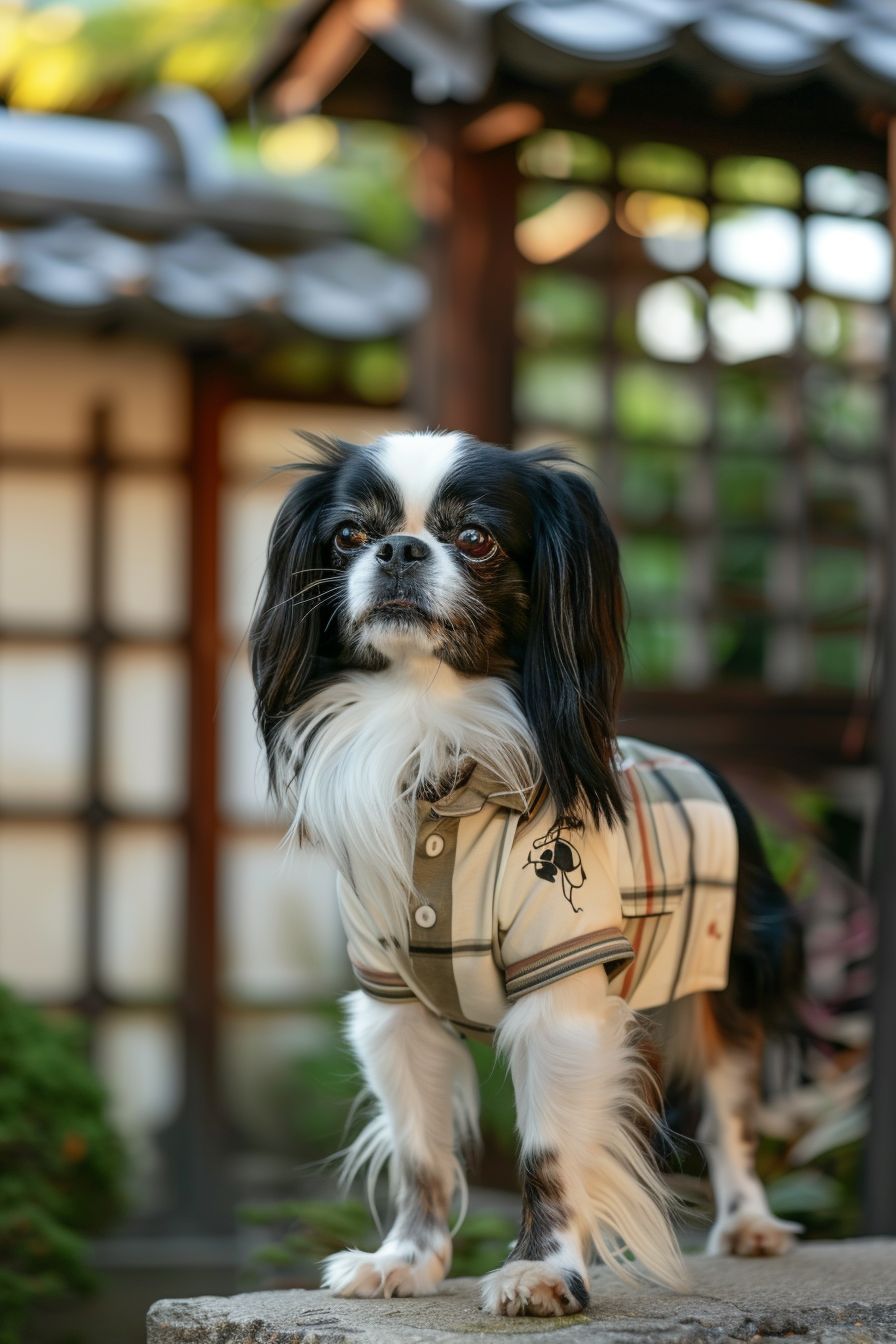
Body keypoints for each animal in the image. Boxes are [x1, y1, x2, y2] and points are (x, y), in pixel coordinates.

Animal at [251, 435, 805, 1317]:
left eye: (475, 538)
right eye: (348, 535)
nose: (398, 549)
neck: (433, 738)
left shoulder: (561, 998)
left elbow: (548, 1155)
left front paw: (543, 1274)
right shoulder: (393, 1009)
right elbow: (421, 1154)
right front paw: (406, 1260)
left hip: (720, 993)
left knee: (730, 1117)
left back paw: (749, 1223)